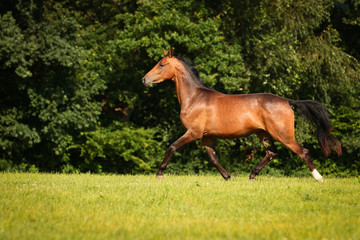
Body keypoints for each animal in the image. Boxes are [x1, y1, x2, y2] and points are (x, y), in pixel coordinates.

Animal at [141, 47, 340, 181]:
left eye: (162, 64)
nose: (144, 79)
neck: (194, 98)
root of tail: (287, 101)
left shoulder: (193, 133)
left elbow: (172, 147)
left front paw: (159, 173)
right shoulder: (206, 136)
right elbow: (213, 158)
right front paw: (227, 176)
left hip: (283, 135)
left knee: (303, 152)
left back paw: (319, 178)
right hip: (263, 134)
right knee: (272, 153)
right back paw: (252, 175)